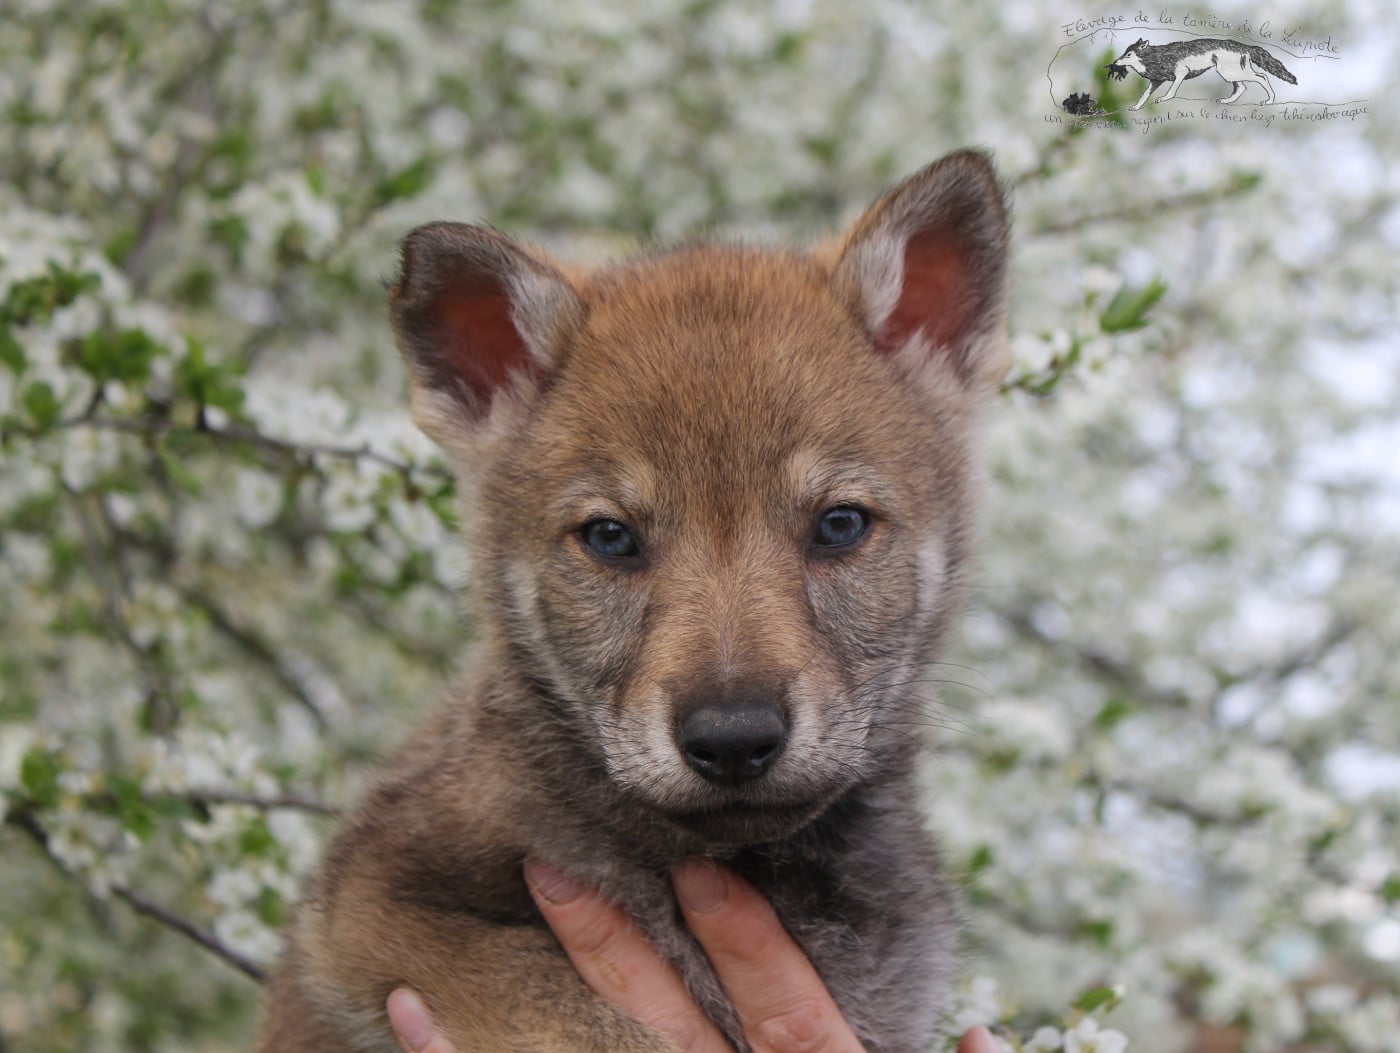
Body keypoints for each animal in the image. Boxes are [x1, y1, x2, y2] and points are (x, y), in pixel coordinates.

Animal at [1106, 37, 1297, 110]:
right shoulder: (1155, 81)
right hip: (1230, 74)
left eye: (1128, 55)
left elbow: (1172, 92)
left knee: (1262, 77)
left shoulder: (1181, 73)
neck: (1156, 57)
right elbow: (1144, 95)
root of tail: (1245, 46)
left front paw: (1164, 99)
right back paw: (1226, 101)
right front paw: (1135, 107)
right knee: (1242, 88)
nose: (1115, 62)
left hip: (1230, 73)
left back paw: (1270, 101)